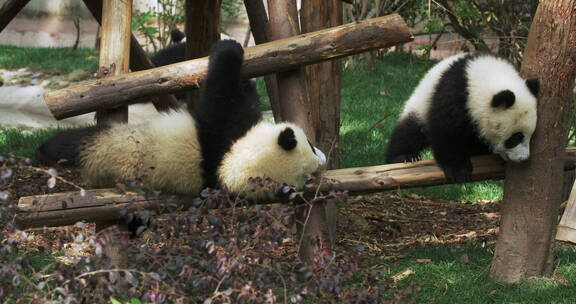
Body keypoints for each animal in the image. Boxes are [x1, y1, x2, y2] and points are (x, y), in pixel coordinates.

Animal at [36, 39, 326, 200]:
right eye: (311, 145)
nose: (323, 159)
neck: (226, 164)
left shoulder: (220, 131)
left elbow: (222, 94)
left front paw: (229, 51)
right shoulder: (227, 133)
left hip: (105, 141)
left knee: (71, 143)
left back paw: (44, 151)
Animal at [388, 52, 540, 183]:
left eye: (531, 135)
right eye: (516, 137)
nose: (524, 158)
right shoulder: (454, 94)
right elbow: (446, 130)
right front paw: (458, 170)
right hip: (420, 104)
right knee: (410, 131)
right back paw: (405, 157)